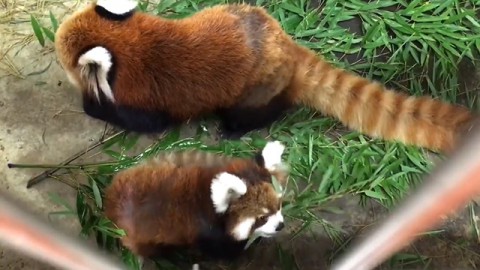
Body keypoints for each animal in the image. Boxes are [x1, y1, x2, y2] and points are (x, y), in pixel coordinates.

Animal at [54, 0, 474, 153]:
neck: (131, 45)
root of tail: (287, 46)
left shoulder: (144, 95)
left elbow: (144, 120)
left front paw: (91, 103)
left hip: (256, 88)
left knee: (259, 110)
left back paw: (235, 128)